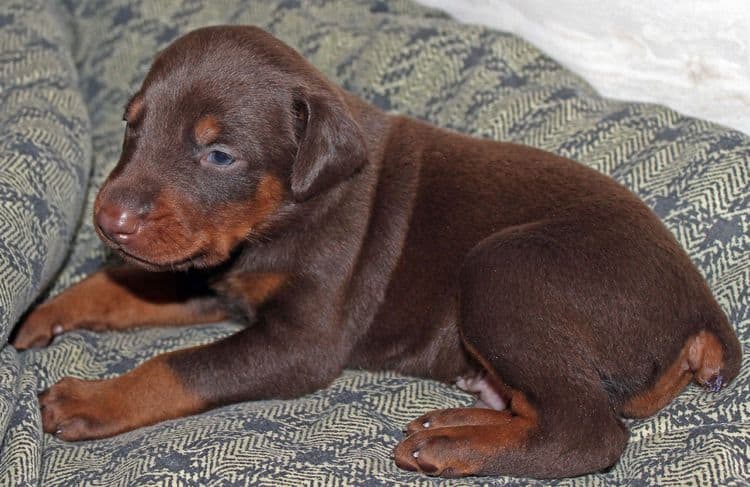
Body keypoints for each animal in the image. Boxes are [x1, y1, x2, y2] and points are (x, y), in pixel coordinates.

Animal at [14, 24, 744, 478]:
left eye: (219, 154)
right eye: (132, 125)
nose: (106, 217)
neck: (288, 212)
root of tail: (701, 312)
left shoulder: (300, 344)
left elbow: (180, 366)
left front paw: (93, 400)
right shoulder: (218, 277)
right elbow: (124, 287)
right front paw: (43, 312)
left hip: (503, 270)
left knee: (588, 432)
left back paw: (451, 446)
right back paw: (461, 421)